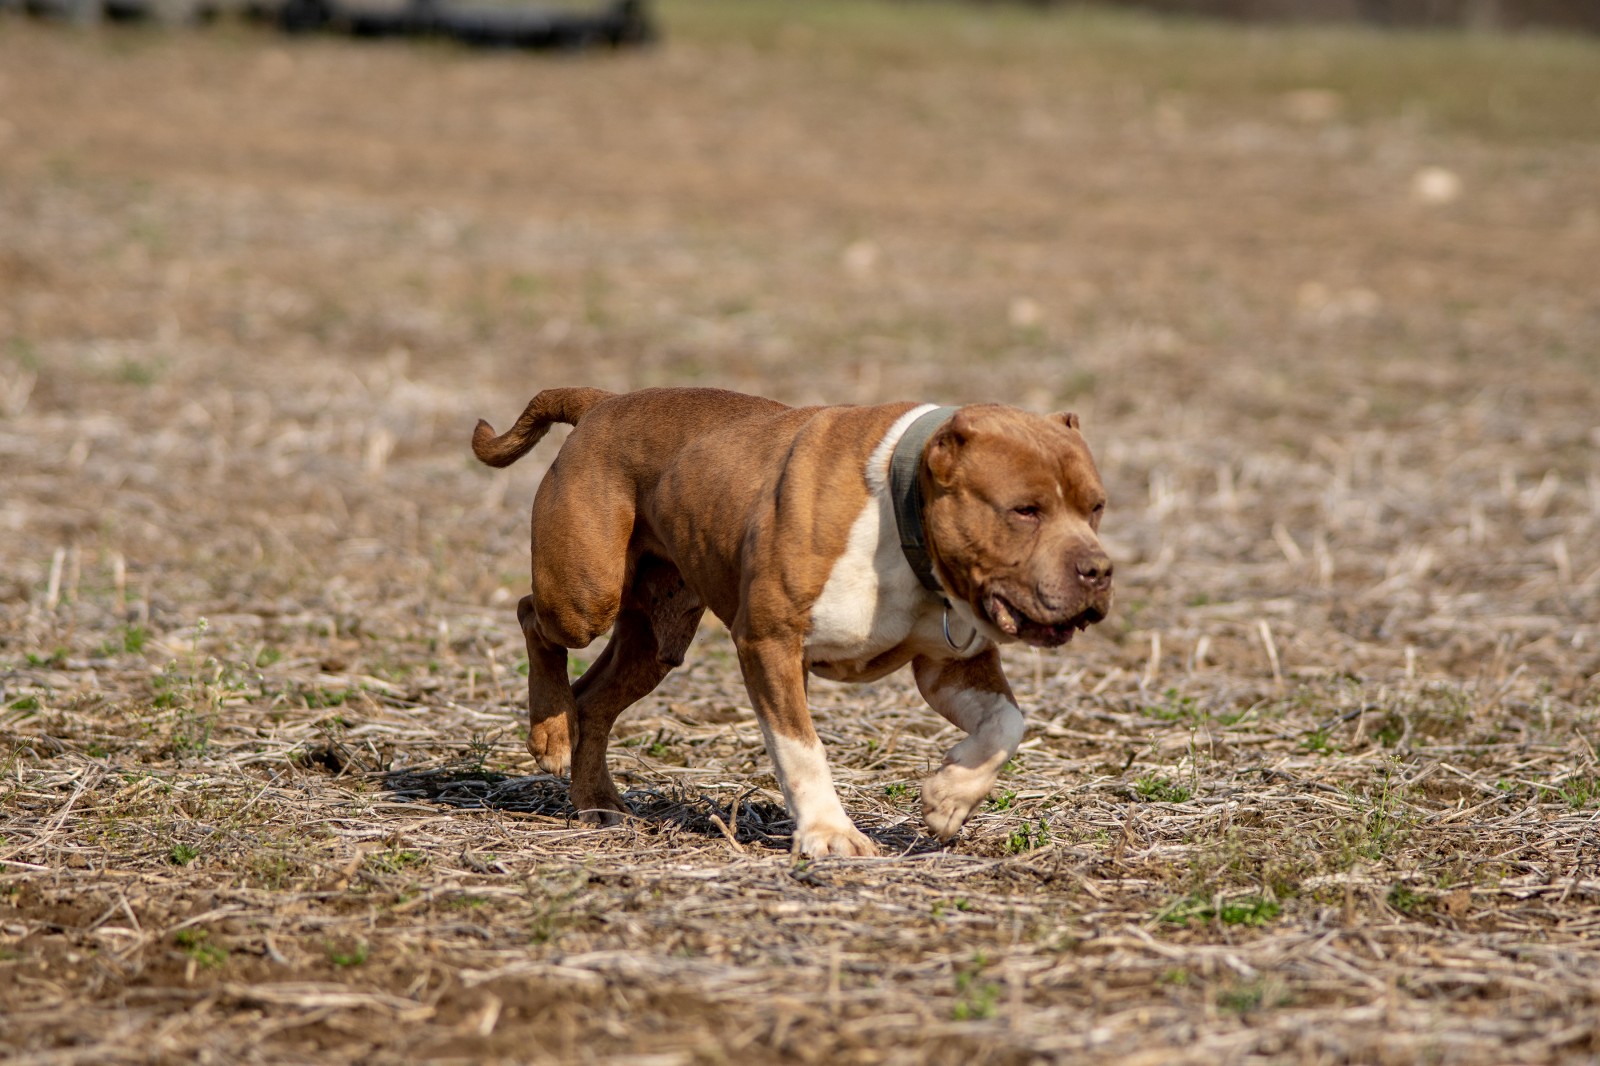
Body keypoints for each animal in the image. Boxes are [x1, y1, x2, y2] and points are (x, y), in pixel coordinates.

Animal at [467, 385, 1107, 851]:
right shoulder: (770, 643)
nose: (1099, 571)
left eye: (1096, 507)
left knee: (594, 701)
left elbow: (1006, 723)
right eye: (1025, 510)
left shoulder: (953, 664)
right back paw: (549, 733)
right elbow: (800, 748)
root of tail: (603, 402)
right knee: (532, 616)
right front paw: (830, 834)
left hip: (656, 638)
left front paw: (950, 797)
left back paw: (597, 801)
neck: (901, 513)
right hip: (584, 596)